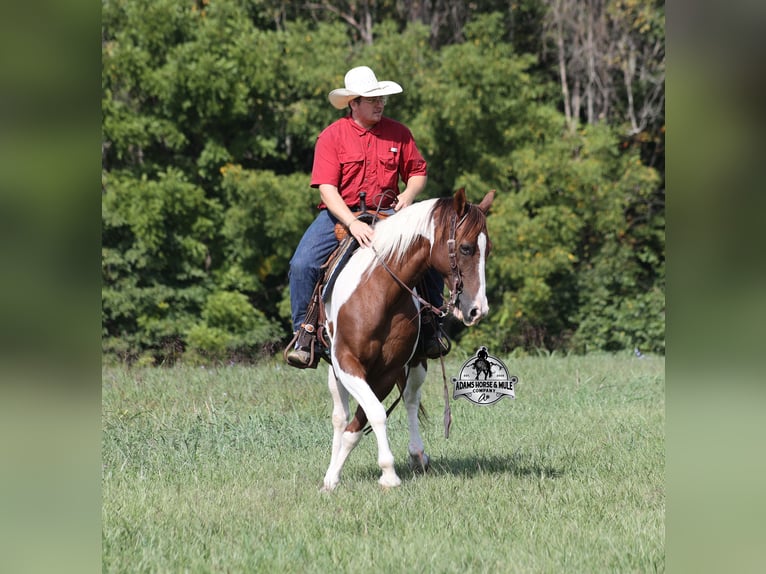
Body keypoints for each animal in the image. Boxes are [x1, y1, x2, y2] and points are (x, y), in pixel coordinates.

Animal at [321, 188, 495, 491]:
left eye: (489, 249)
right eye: (465, 248)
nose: (478, 309)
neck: (378, 292)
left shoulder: (388, 371)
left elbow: (366, 418)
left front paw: (386, 471)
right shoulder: (346, 363)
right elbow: (368, 416)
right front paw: (347, 475)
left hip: (417, 363)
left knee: (411, 400)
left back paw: (417, 454)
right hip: (336, 371)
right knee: (340, 417)